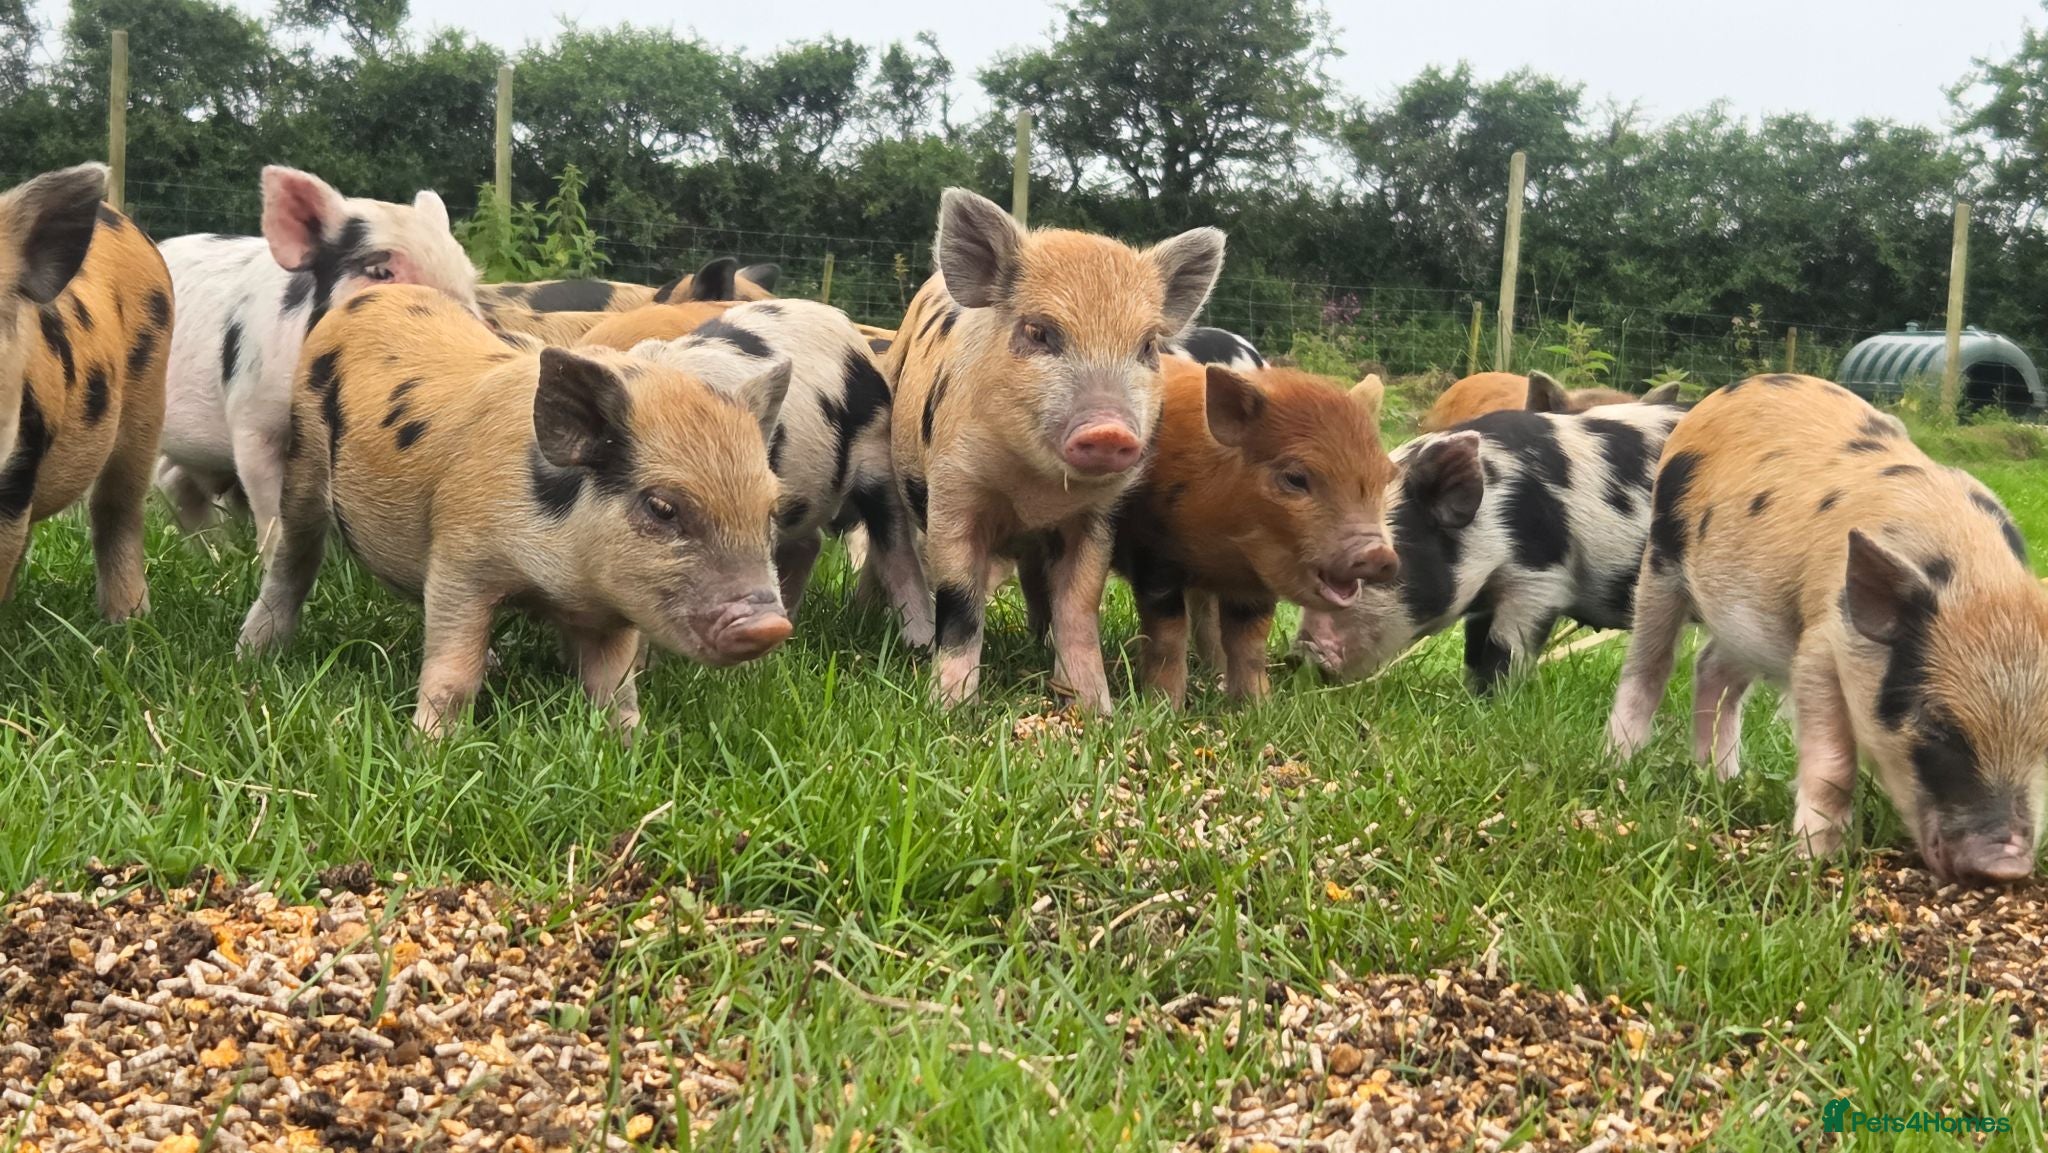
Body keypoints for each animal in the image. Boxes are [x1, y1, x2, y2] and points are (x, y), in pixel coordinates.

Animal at [236, 285, 793, 736]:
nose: (771, 625)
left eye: (770, 512)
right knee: (293, 558)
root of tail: (373, 295)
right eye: (662, 507)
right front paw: (431, 750)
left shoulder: (614, 606)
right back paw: (254, 654)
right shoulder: (461, 559)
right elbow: (453, 674)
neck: (554, 584)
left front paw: (631, 747)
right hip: (303, 460)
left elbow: (615, 688)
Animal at [885, 188, 1225, 711]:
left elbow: (1080, 606)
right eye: (1038, 332)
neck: (1035, 492)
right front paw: (950, 710)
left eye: (1148, 346)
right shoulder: (953, 491)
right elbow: (960, 603)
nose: (1109, 430)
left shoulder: (1098, 516)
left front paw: (1095, 709)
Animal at [1105, 359, 1397, 704]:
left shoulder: (1253, 587)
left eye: (1387, 477)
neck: (1228, 549)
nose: (1378, 554)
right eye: (1295, 478)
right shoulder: (1152, 557)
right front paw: (1164, 705)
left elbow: (1249, 644)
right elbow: (1168, 637)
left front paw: (1258, 706)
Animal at [1296, 398, 1688, 693]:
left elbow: (1504, 647)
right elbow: (1474, 646)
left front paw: (1490, 701)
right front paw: (1469, 693)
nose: (1302, 649)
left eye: (1381, 567)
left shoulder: (1541, 578)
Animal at [1606, 375, 2048, 885]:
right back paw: (1617, 766)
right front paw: (1816, 860)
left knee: (1712, 669)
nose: (2006, 866)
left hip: (1751, 619)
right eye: (1936, 725)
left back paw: (1722, 780)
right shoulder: (1819, 644)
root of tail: (1733, 390)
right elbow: (1833, 766)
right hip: (1661, 559)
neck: (1977, 576)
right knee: (1649, 667)